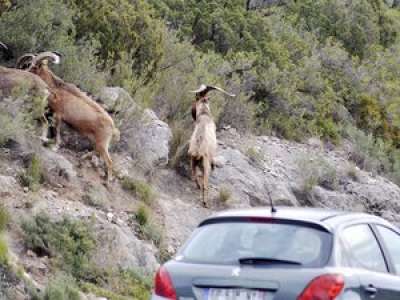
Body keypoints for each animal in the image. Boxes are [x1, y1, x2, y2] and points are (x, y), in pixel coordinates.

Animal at [19, 52, 119, 182]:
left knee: (109, 161)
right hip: (98, 143)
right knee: (96, 151)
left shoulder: (58, 115)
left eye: (33, 67)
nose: (25, 71)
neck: (55, 88)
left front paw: (55, 147)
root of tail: (113, 128)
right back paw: (82, 159)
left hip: (102, 143)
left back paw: (108, 179)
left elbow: (56, 131)